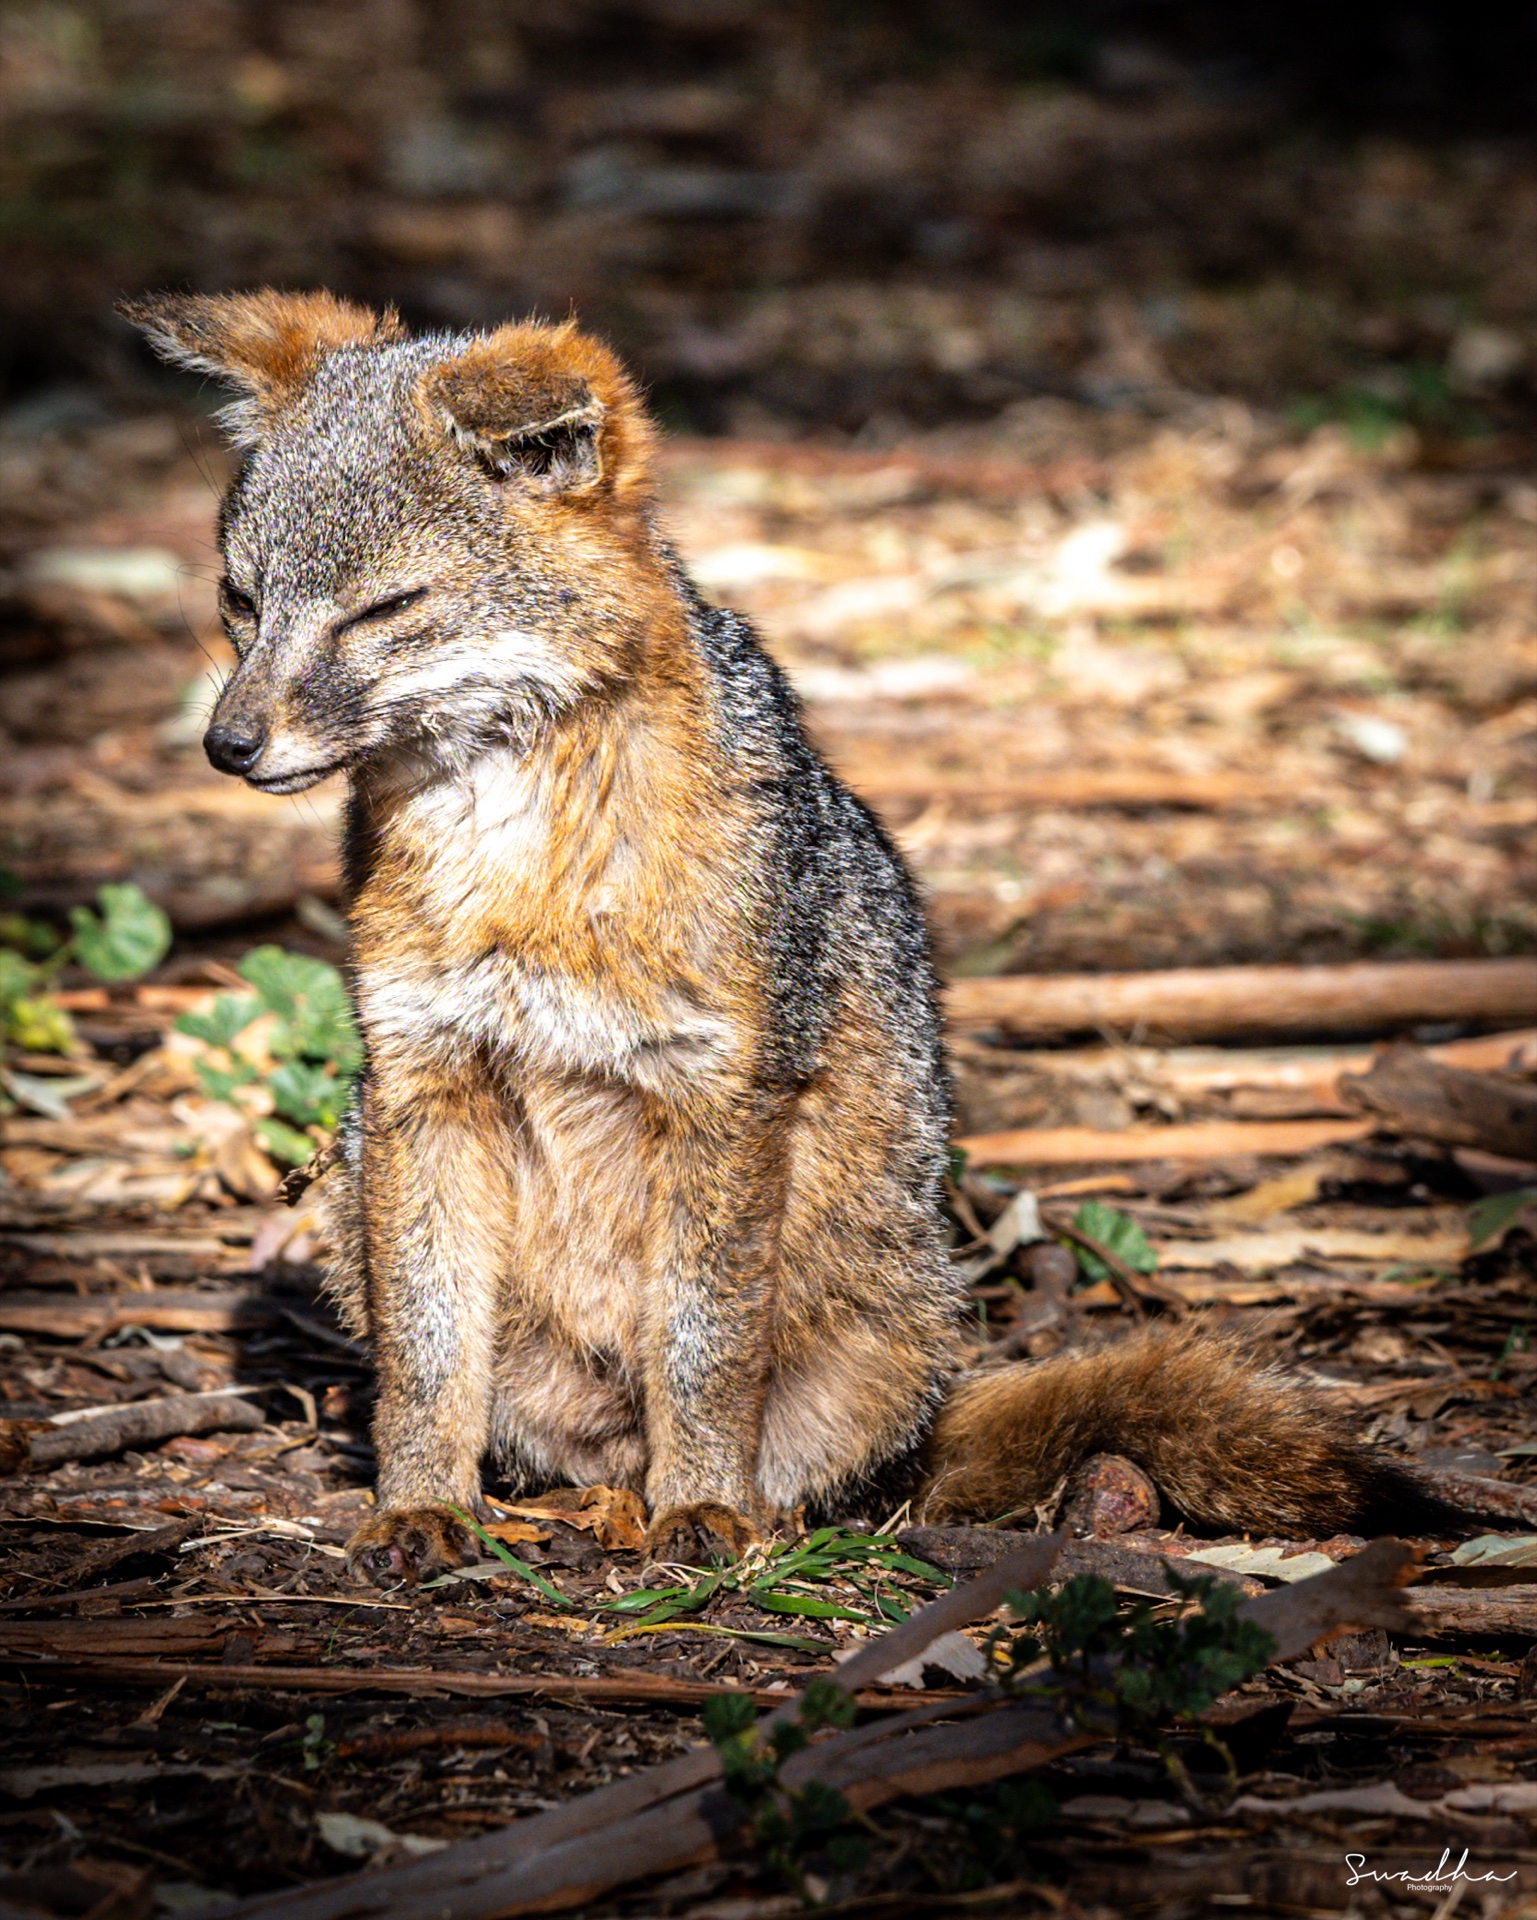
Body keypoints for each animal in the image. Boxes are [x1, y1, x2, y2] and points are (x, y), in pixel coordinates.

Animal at [121, 289, 1464, 1581]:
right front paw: (419, 1507)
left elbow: (705, 1350)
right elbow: (427, 1358)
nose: (226, 745)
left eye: (382, 611)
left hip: (879, 1332)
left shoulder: (724, 1094)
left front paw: (704, 1507)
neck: (516, 866)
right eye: (241, 600)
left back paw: (698, 1507)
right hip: (362, 1189)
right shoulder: (420, 1081)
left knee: (786, 1460)